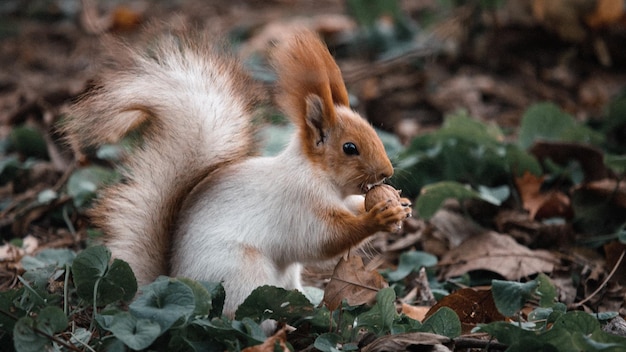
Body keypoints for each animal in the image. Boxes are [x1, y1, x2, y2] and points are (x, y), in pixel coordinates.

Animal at [63, 28, 410, 316]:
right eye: (350, 148)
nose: (387, 171)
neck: (318, 175)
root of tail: (173, 279)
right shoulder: (299, 205)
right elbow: (323, 241)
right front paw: (376, 218)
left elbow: (352, 207)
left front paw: (398, 205)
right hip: (242, 276)